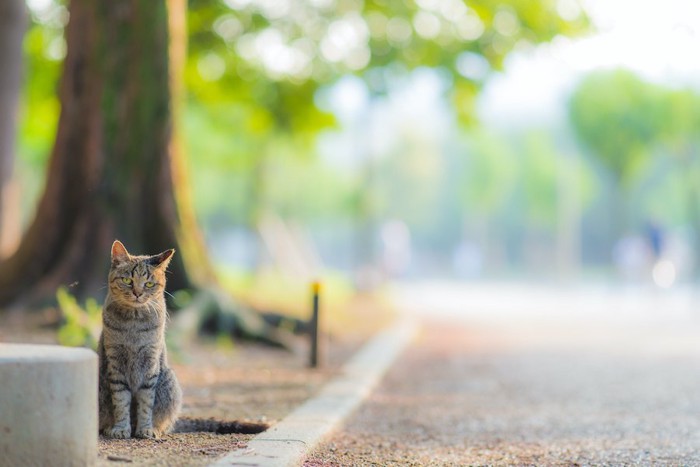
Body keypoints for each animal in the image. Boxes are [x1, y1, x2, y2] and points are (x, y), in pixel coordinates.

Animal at [95, 241, 266, 438]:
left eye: (149, 284)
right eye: (127, 281)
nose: (138, 293)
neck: (134, 322)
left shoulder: (151, 363)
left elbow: (146, 403)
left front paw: (145, 428)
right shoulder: (115, 363)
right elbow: (121, 401)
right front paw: (121, 428)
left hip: (169, 380)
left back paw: (155, 428)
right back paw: (109, 427)